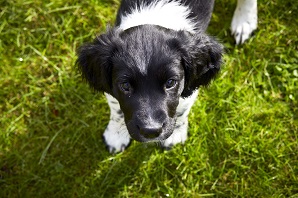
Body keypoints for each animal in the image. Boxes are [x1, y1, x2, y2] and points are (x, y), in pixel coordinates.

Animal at [76, 0, 256, 153]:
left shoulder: (188, 86)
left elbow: (182, 110)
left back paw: (245, 21)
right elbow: (116, 109)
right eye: (125, 86)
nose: (151, 131)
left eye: (170, 82)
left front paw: (175, 136)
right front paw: (116, 136)